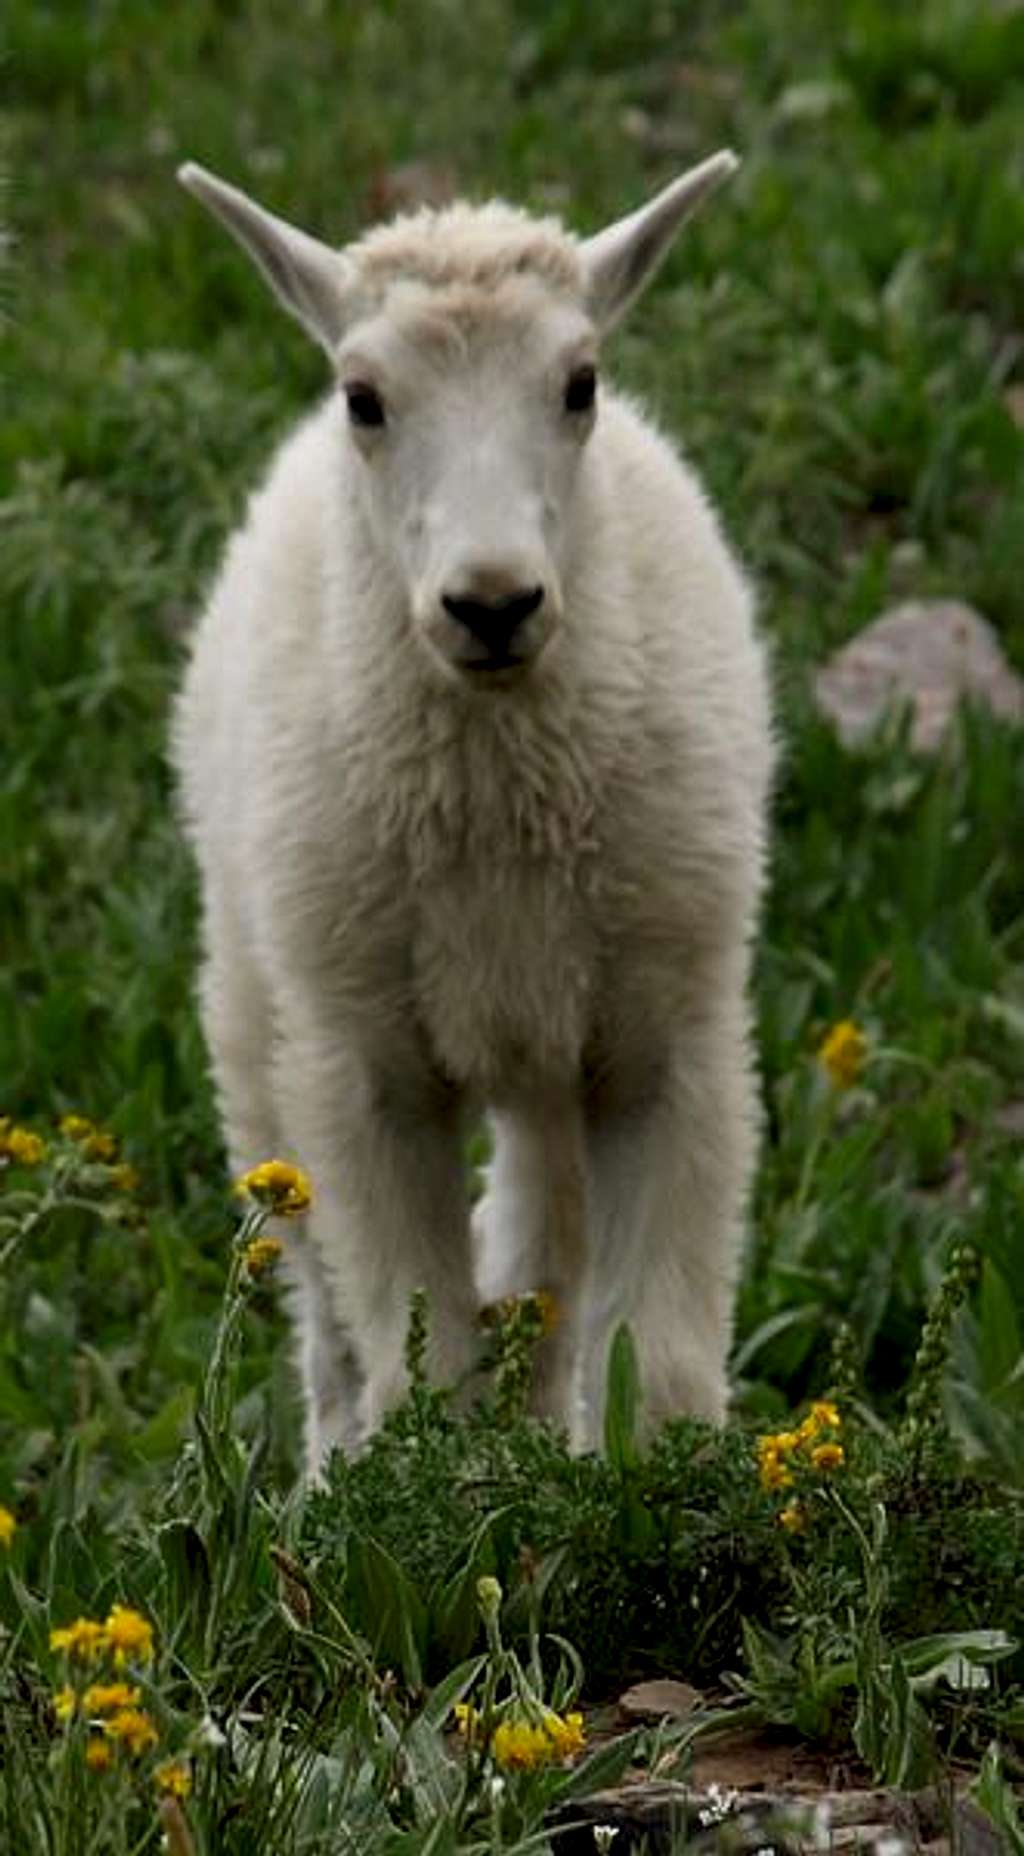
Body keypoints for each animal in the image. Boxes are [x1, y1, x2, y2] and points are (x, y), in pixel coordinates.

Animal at [174, 152, 775, 1469]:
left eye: (579, 382)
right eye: (364, 398)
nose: (492, 604)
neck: (500, 802)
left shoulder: (670, 1040)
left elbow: (659, 1365)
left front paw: (661, 1504)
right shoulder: (362, 1072)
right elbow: (422, 1363)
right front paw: (433, 1498)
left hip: (551, 1045)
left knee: (545, 1254)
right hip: (255, 1009)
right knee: (327, 1326)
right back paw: (326, 1480)